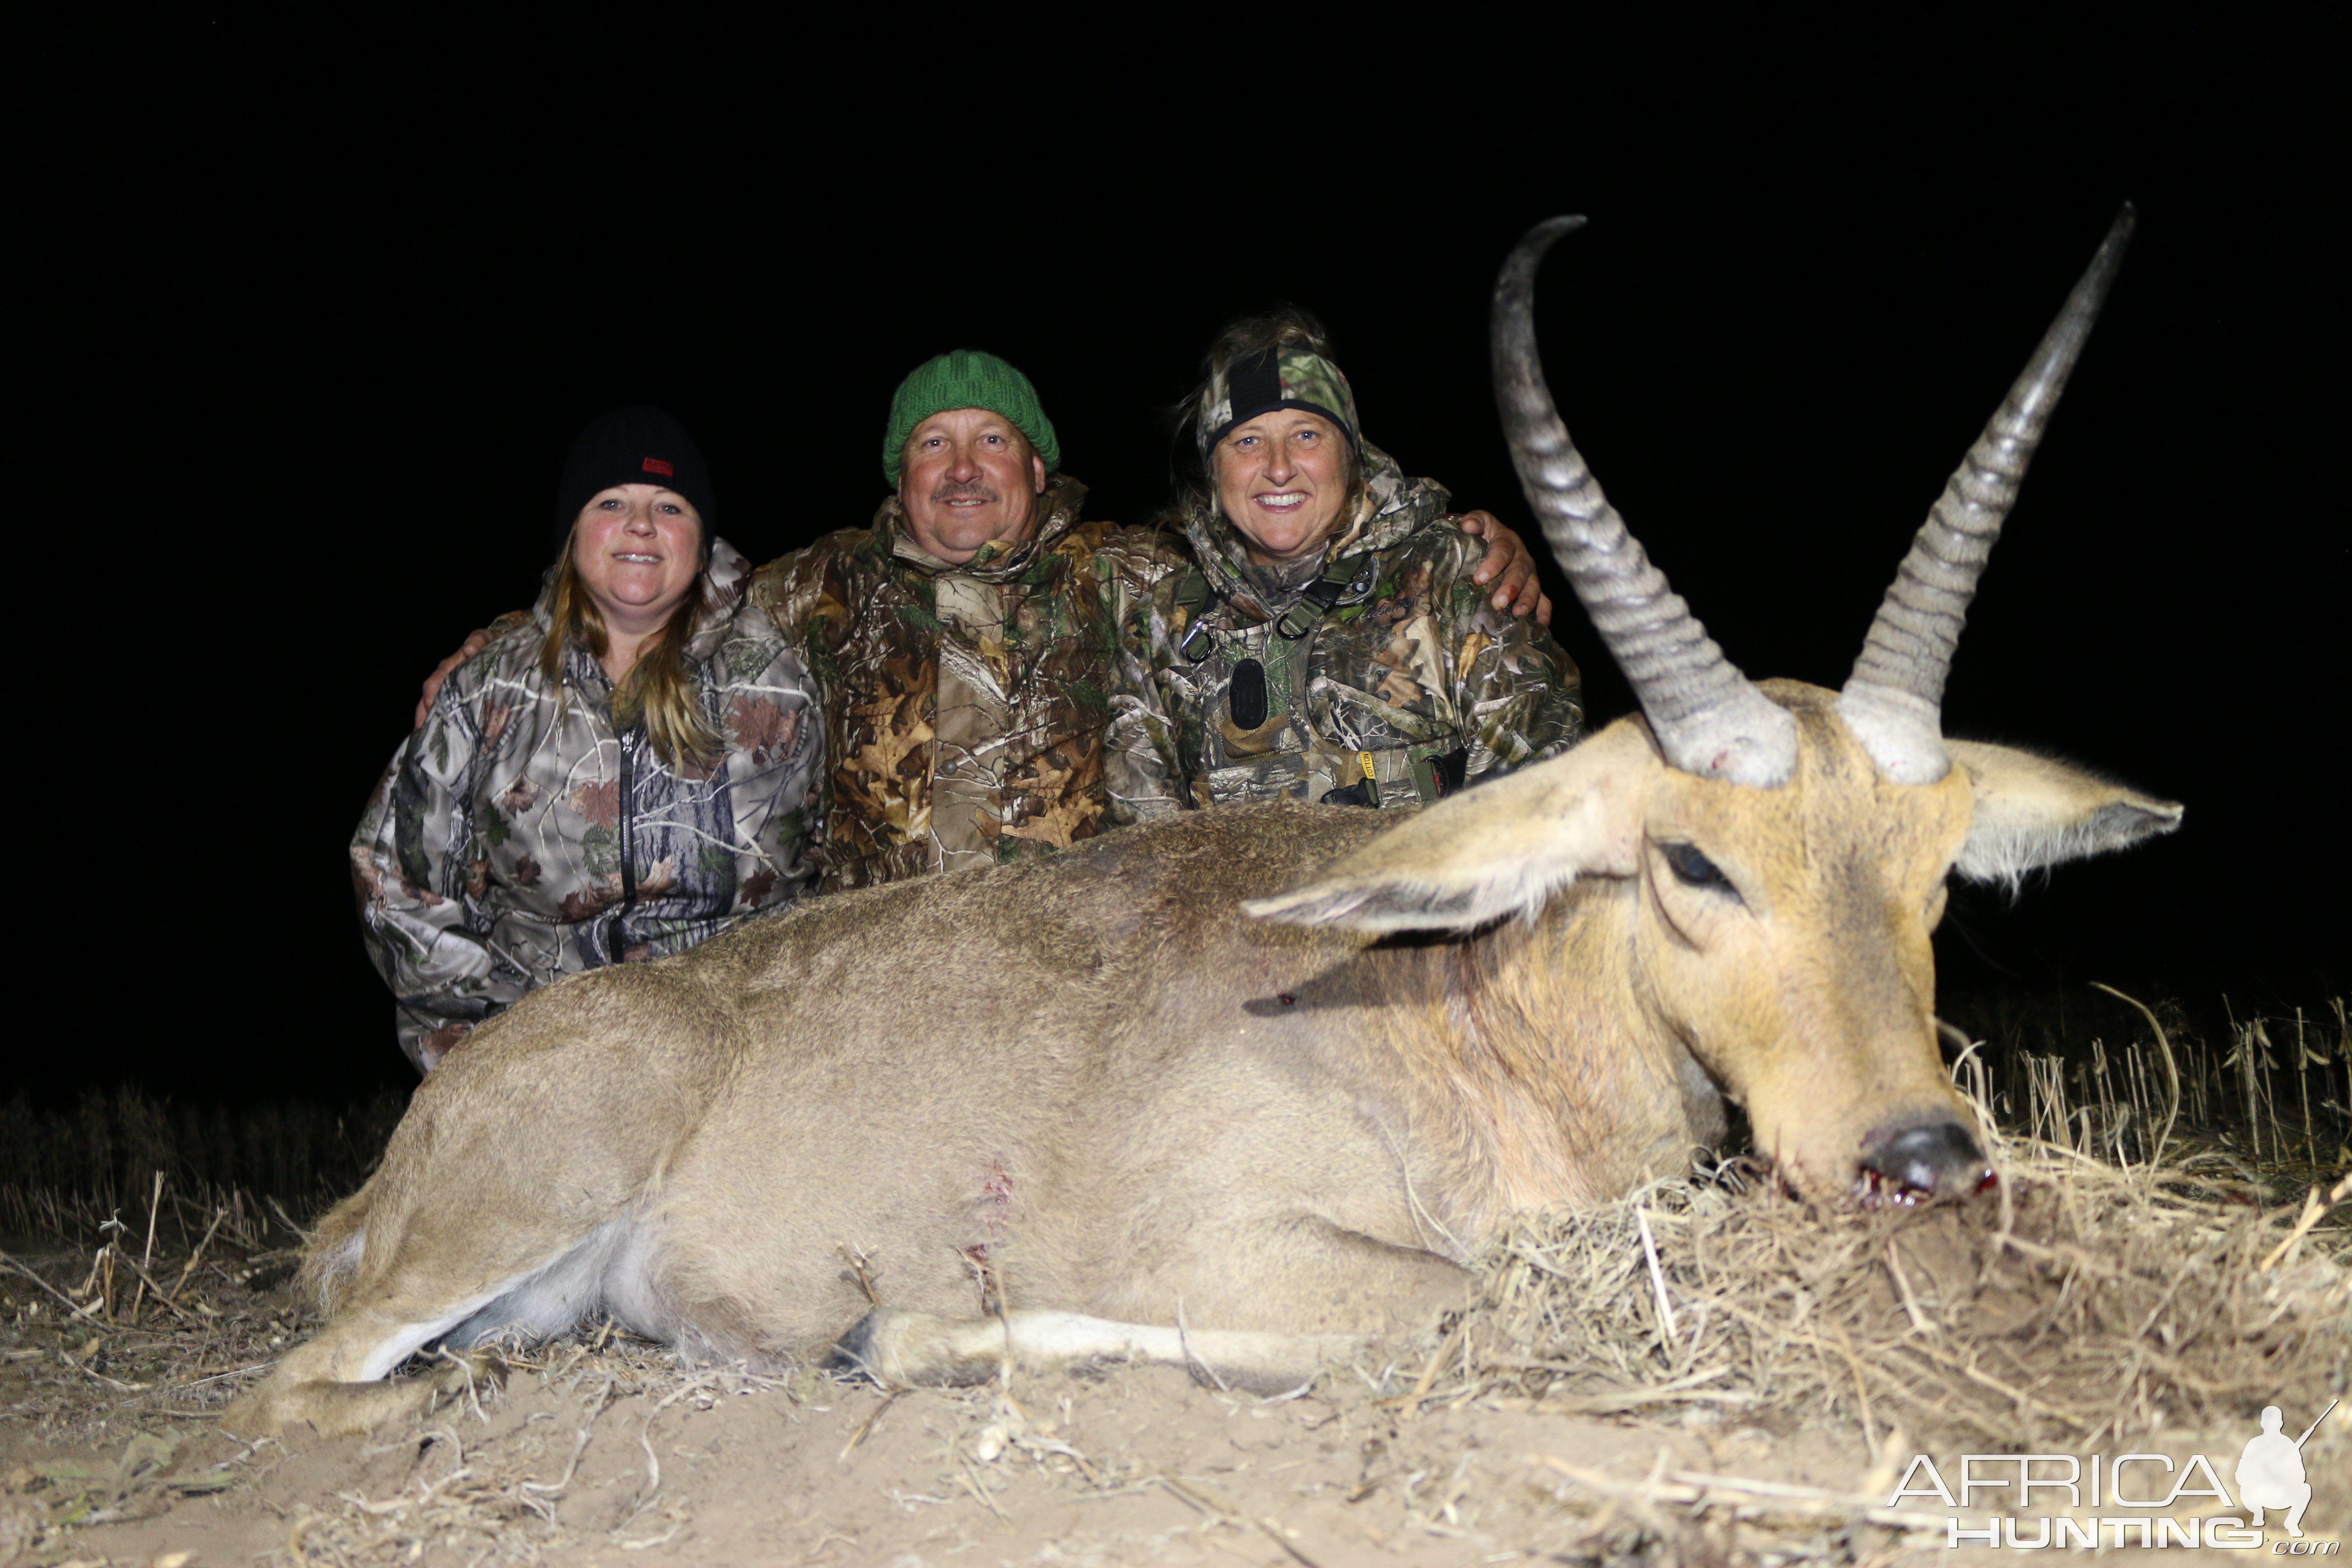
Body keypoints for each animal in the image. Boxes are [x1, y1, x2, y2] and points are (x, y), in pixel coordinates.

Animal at [224, 205, 2183, 1439]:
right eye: (1692, 858)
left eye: (1934, 876)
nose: (1918, 1155)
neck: (1450, 1012)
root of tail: (424, 1136)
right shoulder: (1251, 1249)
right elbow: (1427, 1301)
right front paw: (909, 1336)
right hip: (499, 1227)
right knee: (309, 1379)